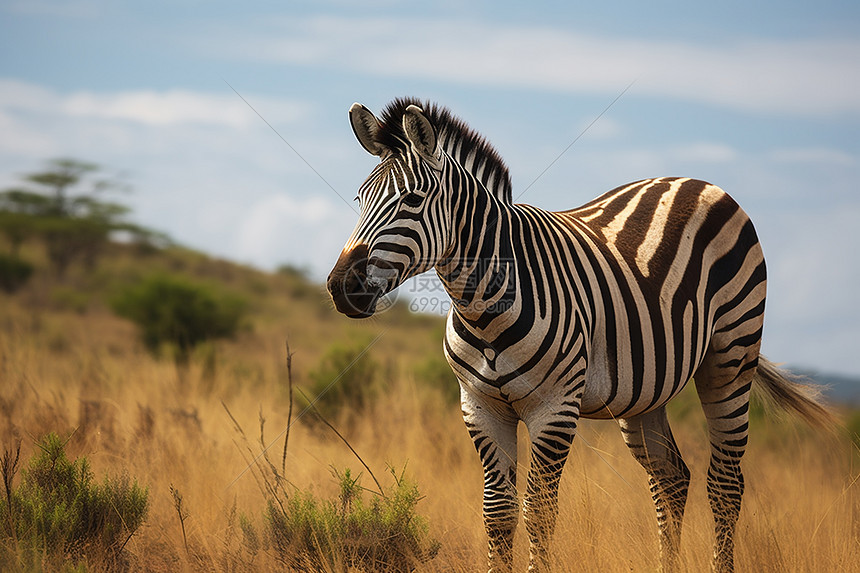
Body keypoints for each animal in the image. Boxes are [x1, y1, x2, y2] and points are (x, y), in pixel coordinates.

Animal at [326, 98, 828, 572]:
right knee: (672, 478)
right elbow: (497, 512)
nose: (340, 286)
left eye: (411, 200)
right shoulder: (480, 407)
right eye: (359, 198)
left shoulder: (555, 408)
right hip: (646, 391)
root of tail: (692, 181)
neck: (483, 307)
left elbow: (538, 513)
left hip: (730, 360)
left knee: (725, 484)